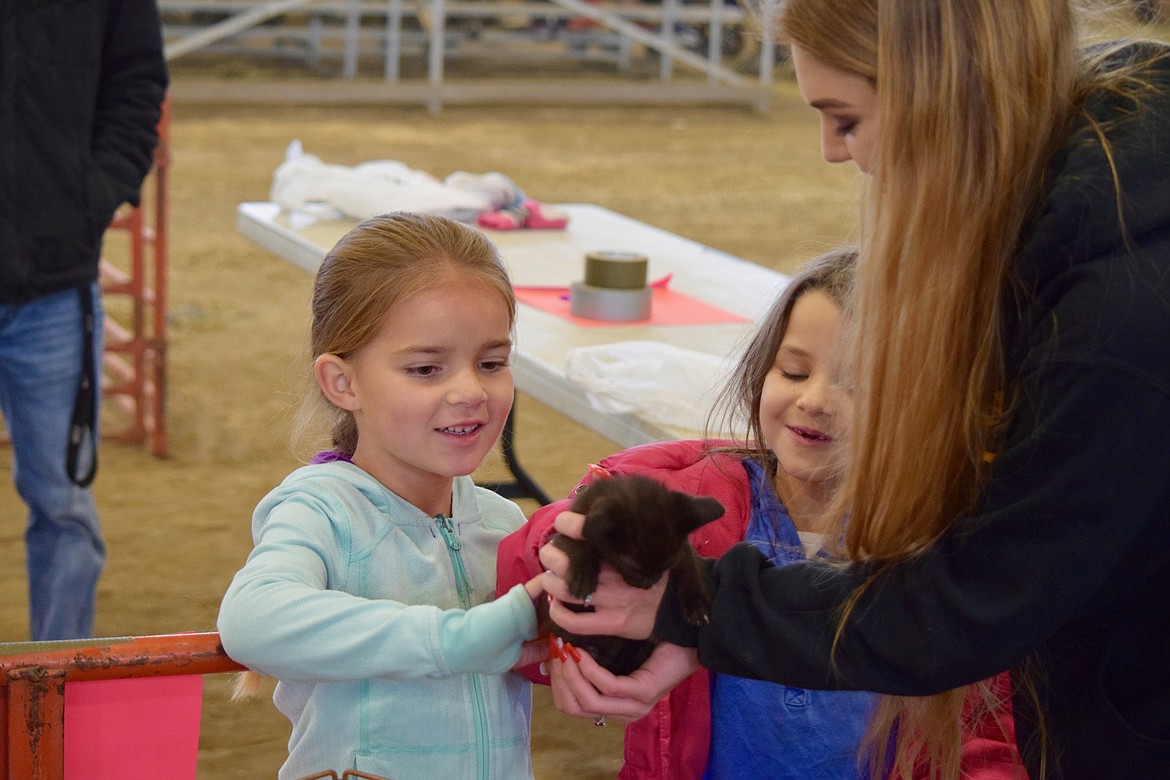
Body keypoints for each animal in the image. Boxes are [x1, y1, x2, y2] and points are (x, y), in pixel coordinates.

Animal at [545, 477, 720, 678]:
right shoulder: (564, 534)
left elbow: (690, 563)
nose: (647, 584)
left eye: (667, 564)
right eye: (632, 566)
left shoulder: (682, 549)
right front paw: (582, 577)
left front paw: (696, 604)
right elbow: (579, 541)